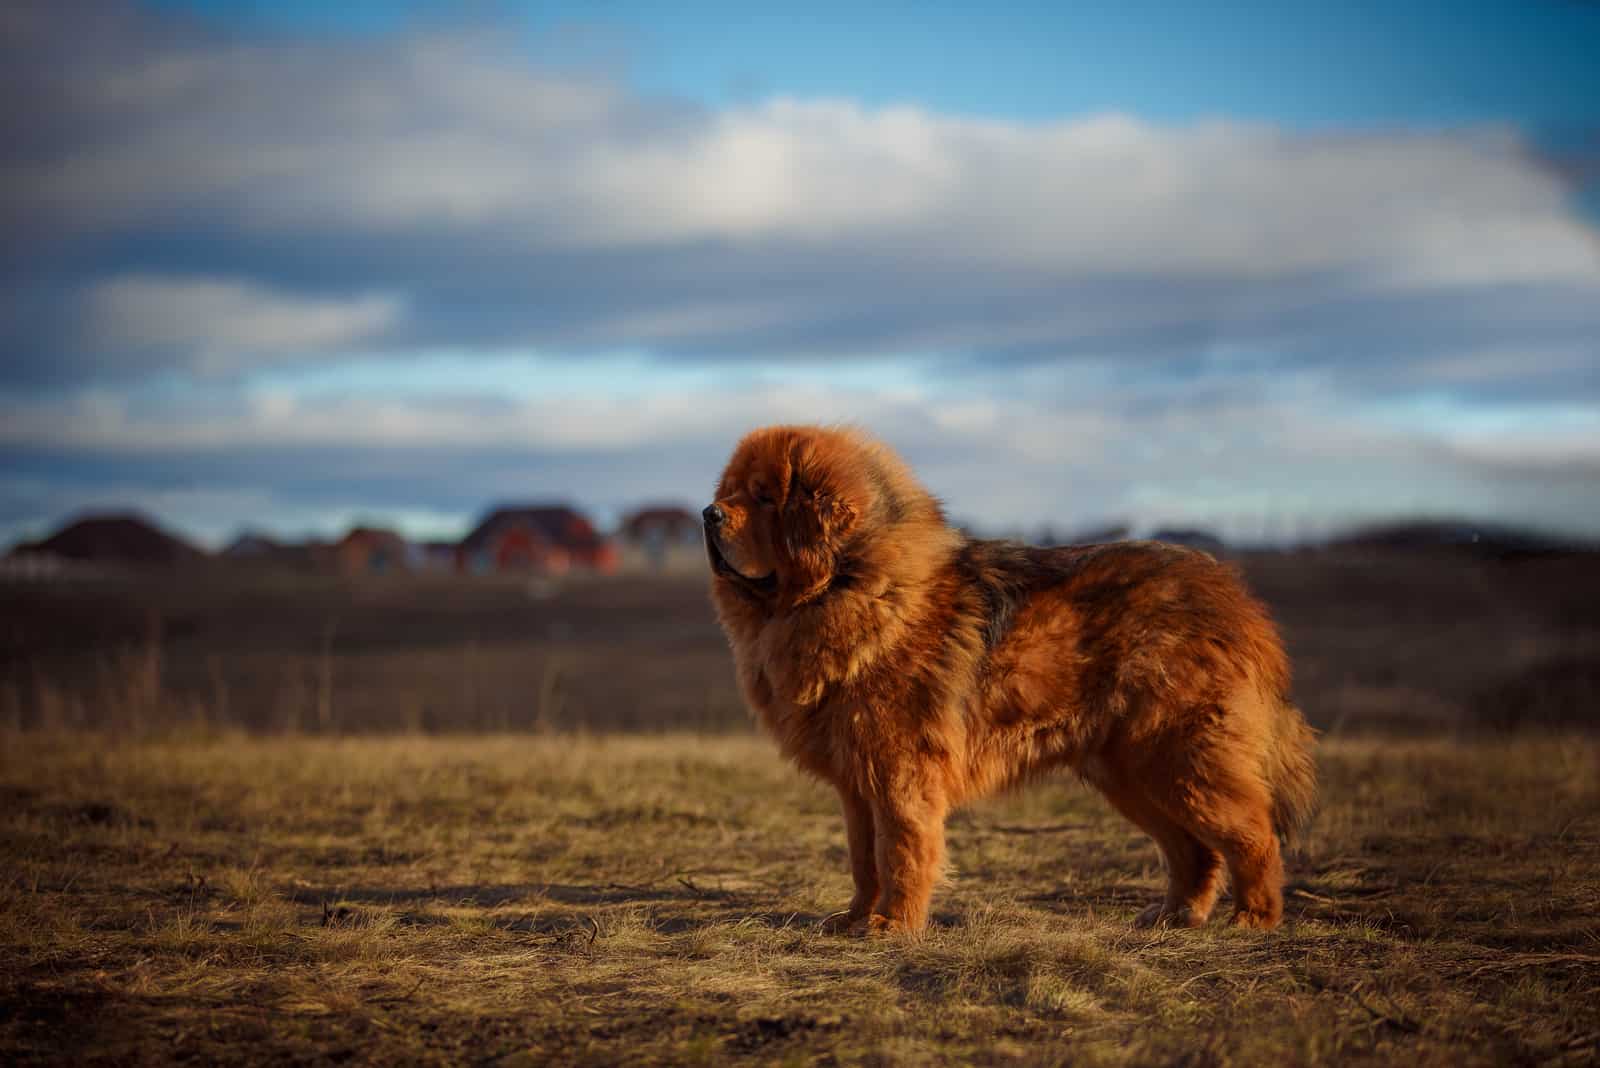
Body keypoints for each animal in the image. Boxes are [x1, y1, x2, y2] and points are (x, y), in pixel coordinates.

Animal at [707, 425, 1318, 933]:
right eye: (732, 491)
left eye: (765, 496)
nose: (709, 514)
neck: (850, 582)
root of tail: (1233, 596)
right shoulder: (857, 782)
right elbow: (864, 859)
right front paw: (856, 919)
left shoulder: (900, 772)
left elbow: (900, 851)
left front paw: (893, 926)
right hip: (1128, 772)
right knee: (1193, 850)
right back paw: (1173, 916)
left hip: (1179, 757)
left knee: (1254, 835)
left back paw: (1253, 918)